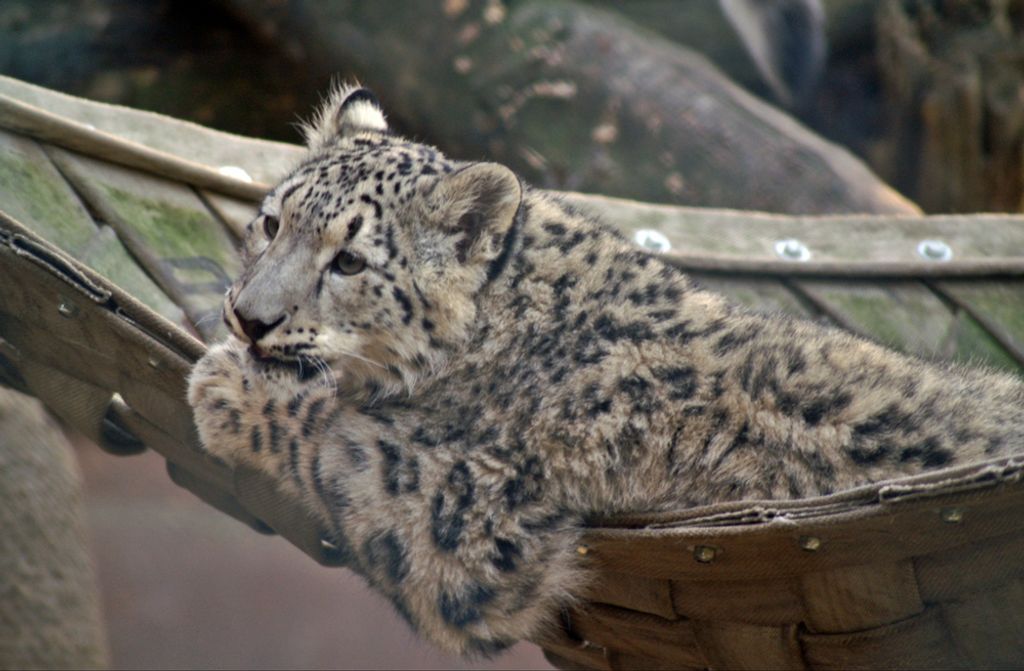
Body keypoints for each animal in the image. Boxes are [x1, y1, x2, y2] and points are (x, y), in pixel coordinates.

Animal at [188, 84, 1024, 656]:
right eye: (271, 222)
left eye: (350, 260)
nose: (249, 317)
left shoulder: (463, 514)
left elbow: (332, 437)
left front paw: (225, 386)